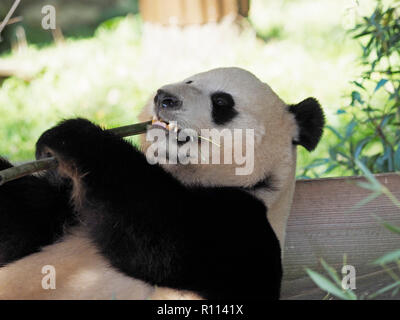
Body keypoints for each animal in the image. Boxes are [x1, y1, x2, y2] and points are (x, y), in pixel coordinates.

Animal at [0, 67, 324, 300]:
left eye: (221, 102)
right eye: (189, 79)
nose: (164, 97)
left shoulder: (242, 223)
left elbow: (158, 237)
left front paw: (74, 134)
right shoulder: (68, 205)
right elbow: (22, 223)